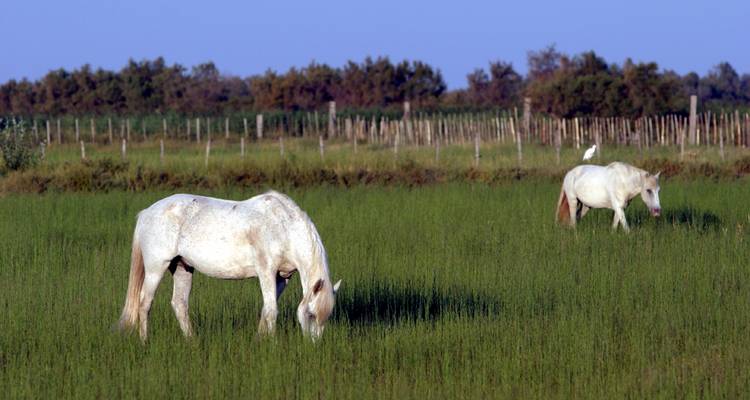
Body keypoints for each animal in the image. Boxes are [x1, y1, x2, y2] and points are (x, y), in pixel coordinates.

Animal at [118, 191, 341, 341]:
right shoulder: (266, 271)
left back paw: (192, 342)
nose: (313, 347)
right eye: (311, 315)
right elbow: (272, 310)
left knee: (179, 304)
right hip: (156, 268)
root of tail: (147, 212)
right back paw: (145, 342)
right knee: (144, 304)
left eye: (326, 317)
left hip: (182, 268)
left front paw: (259, 339)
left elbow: (266, 309)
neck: (283, 226)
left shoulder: (282, 277)